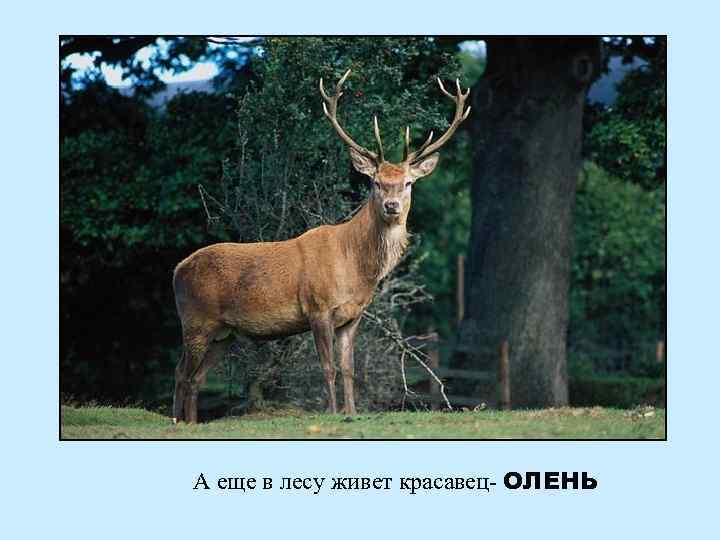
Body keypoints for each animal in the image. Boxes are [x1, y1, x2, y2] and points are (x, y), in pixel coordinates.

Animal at [172, 69, 470, 423]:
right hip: (195, 319)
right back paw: (175, 421)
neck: (356, 268)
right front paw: (331, 412)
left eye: (408, 182)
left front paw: (352, 412)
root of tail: (177, 270)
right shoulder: (318, 307)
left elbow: (349, 369)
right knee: (181, 373)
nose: (392, 206)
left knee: (195, 378)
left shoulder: (352, 317)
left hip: (224, 332)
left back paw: (190, 423)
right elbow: (327, 368)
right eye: (375, 182)